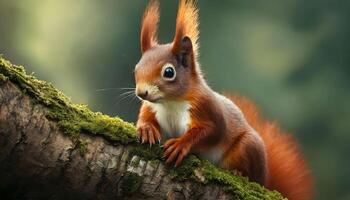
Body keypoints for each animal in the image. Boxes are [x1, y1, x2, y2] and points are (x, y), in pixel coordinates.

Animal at [135, 0, 314, 199]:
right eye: (137, 68)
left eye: (168, 72)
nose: (141, 93)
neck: (170, 102)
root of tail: (265, 180)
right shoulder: (151, 106)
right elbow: (146, 116)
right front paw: (146, 129)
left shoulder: (205, 107)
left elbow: (212, 131)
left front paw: (181, 144)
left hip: (247, 147)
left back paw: (240, 173)